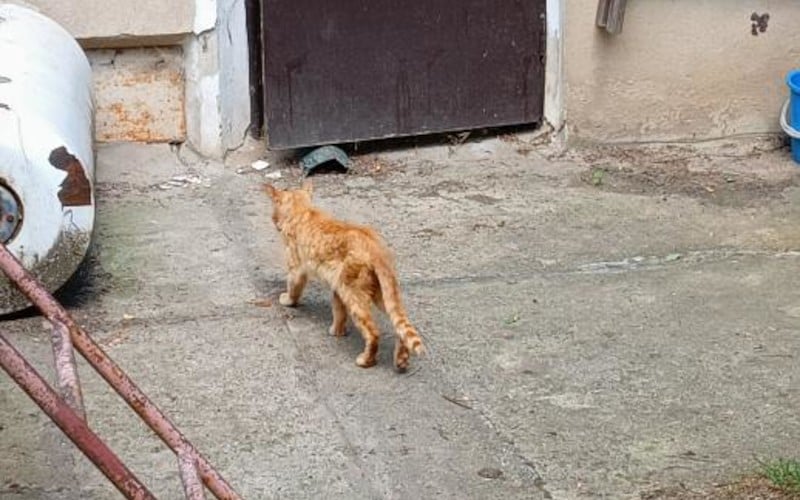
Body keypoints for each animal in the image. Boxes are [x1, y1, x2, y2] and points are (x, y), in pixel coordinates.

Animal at [263, 180, 425, 371]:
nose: (273, 221)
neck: (303, 210)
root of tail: (376, 247)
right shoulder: (336, 286)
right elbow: (339, 311)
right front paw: (338, 331)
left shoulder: (297, 269)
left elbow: (294, 289)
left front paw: (287, 300)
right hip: (379, 293)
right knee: (399, 326)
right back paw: (401, 359)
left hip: (354, 293)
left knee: (374, 332)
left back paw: (366, 360)